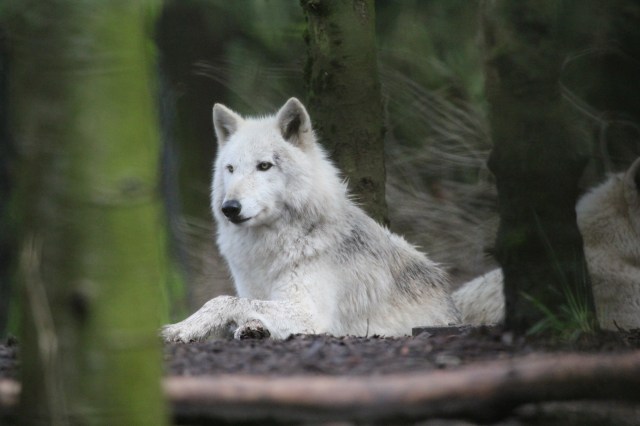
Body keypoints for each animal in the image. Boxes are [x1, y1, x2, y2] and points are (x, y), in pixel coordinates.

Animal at [161, 98, 461, 341]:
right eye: (231, 168)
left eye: (264, 166)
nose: (229, 208)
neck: (271, 247)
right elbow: (242, 305)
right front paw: (250, 327)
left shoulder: (307, 313)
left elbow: (222, 301)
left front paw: (181, 328)